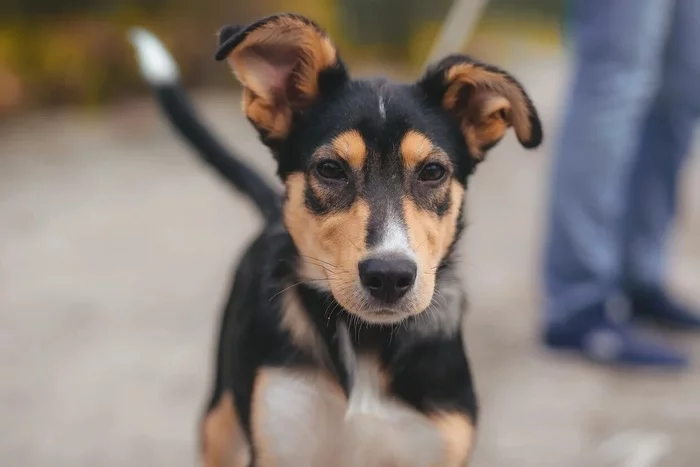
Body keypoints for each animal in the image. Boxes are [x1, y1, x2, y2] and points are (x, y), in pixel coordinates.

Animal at [131, 14, 544, 467]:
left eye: (433, 172)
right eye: (330, 169)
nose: (389, 276)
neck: (365, 341)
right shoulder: (280, 439)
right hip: (220, 416)